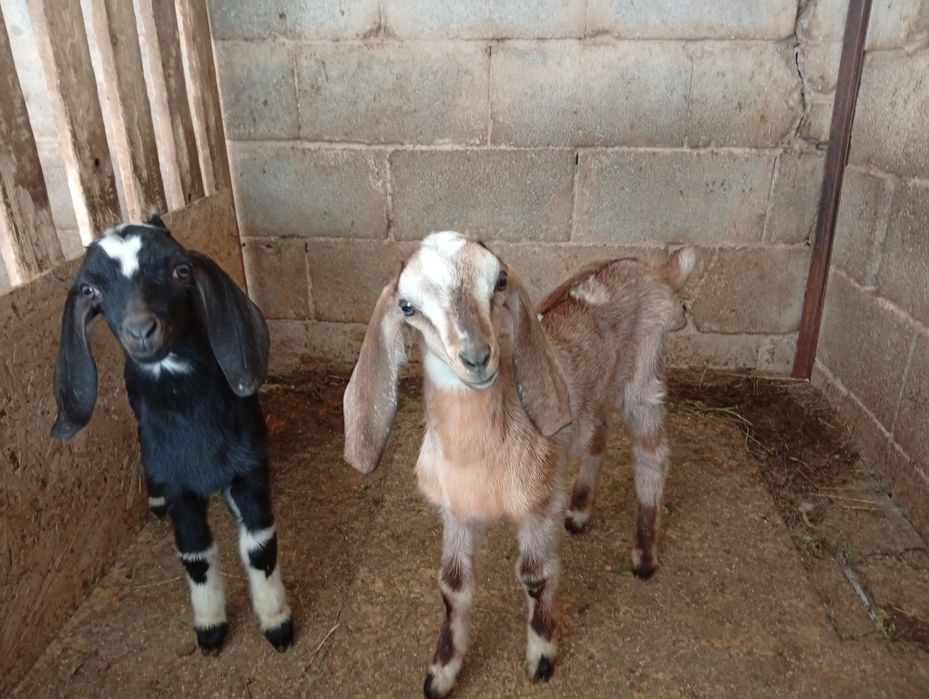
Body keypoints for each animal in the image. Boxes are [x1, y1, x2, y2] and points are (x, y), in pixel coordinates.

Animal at [51, 218, 293, 654]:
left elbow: (261, 547)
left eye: (181, 271)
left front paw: (276, 622)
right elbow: (195, 554)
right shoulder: (181, 486)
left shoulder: (249, 469)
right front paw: (210, 628)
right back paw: (155, 499)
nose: (141, 330)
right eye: (90, 290)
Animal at [344, 231, 694, 697]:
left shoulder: (538, 504)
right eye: (407, 306)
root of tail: (652, 268)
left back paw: (643, 556)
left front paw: (541, 656)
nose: (477, 357)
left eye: (500, 281)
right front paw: (441, 672)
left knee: (652, 456)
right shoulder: (457, 511)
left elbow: (534, 575)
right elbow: (452, 587)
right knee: (597, 431)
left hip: (645, 376)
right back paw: (579, 512)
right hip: (591, 398)